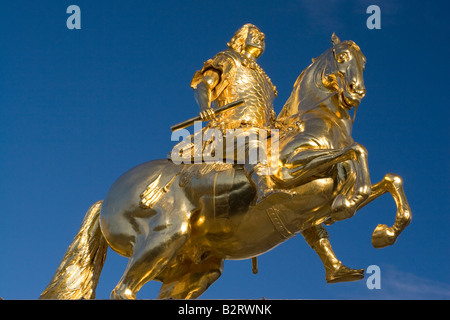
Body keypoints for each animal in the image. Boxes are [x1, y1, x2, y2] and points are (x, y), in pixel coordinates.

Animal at [39, 35, 412, 300]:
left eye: (364, 61)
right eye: (342, 57)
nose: (357, 90)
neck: (314, 122)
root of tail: (107, 199)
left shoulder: (320, 199)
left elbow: (389, 180)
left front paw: (383, 232)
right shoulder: (289, 171)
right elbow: (355, 152)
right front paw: (351, 200)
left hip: (194, 270)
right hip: (164, 237)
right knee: (123, 290)